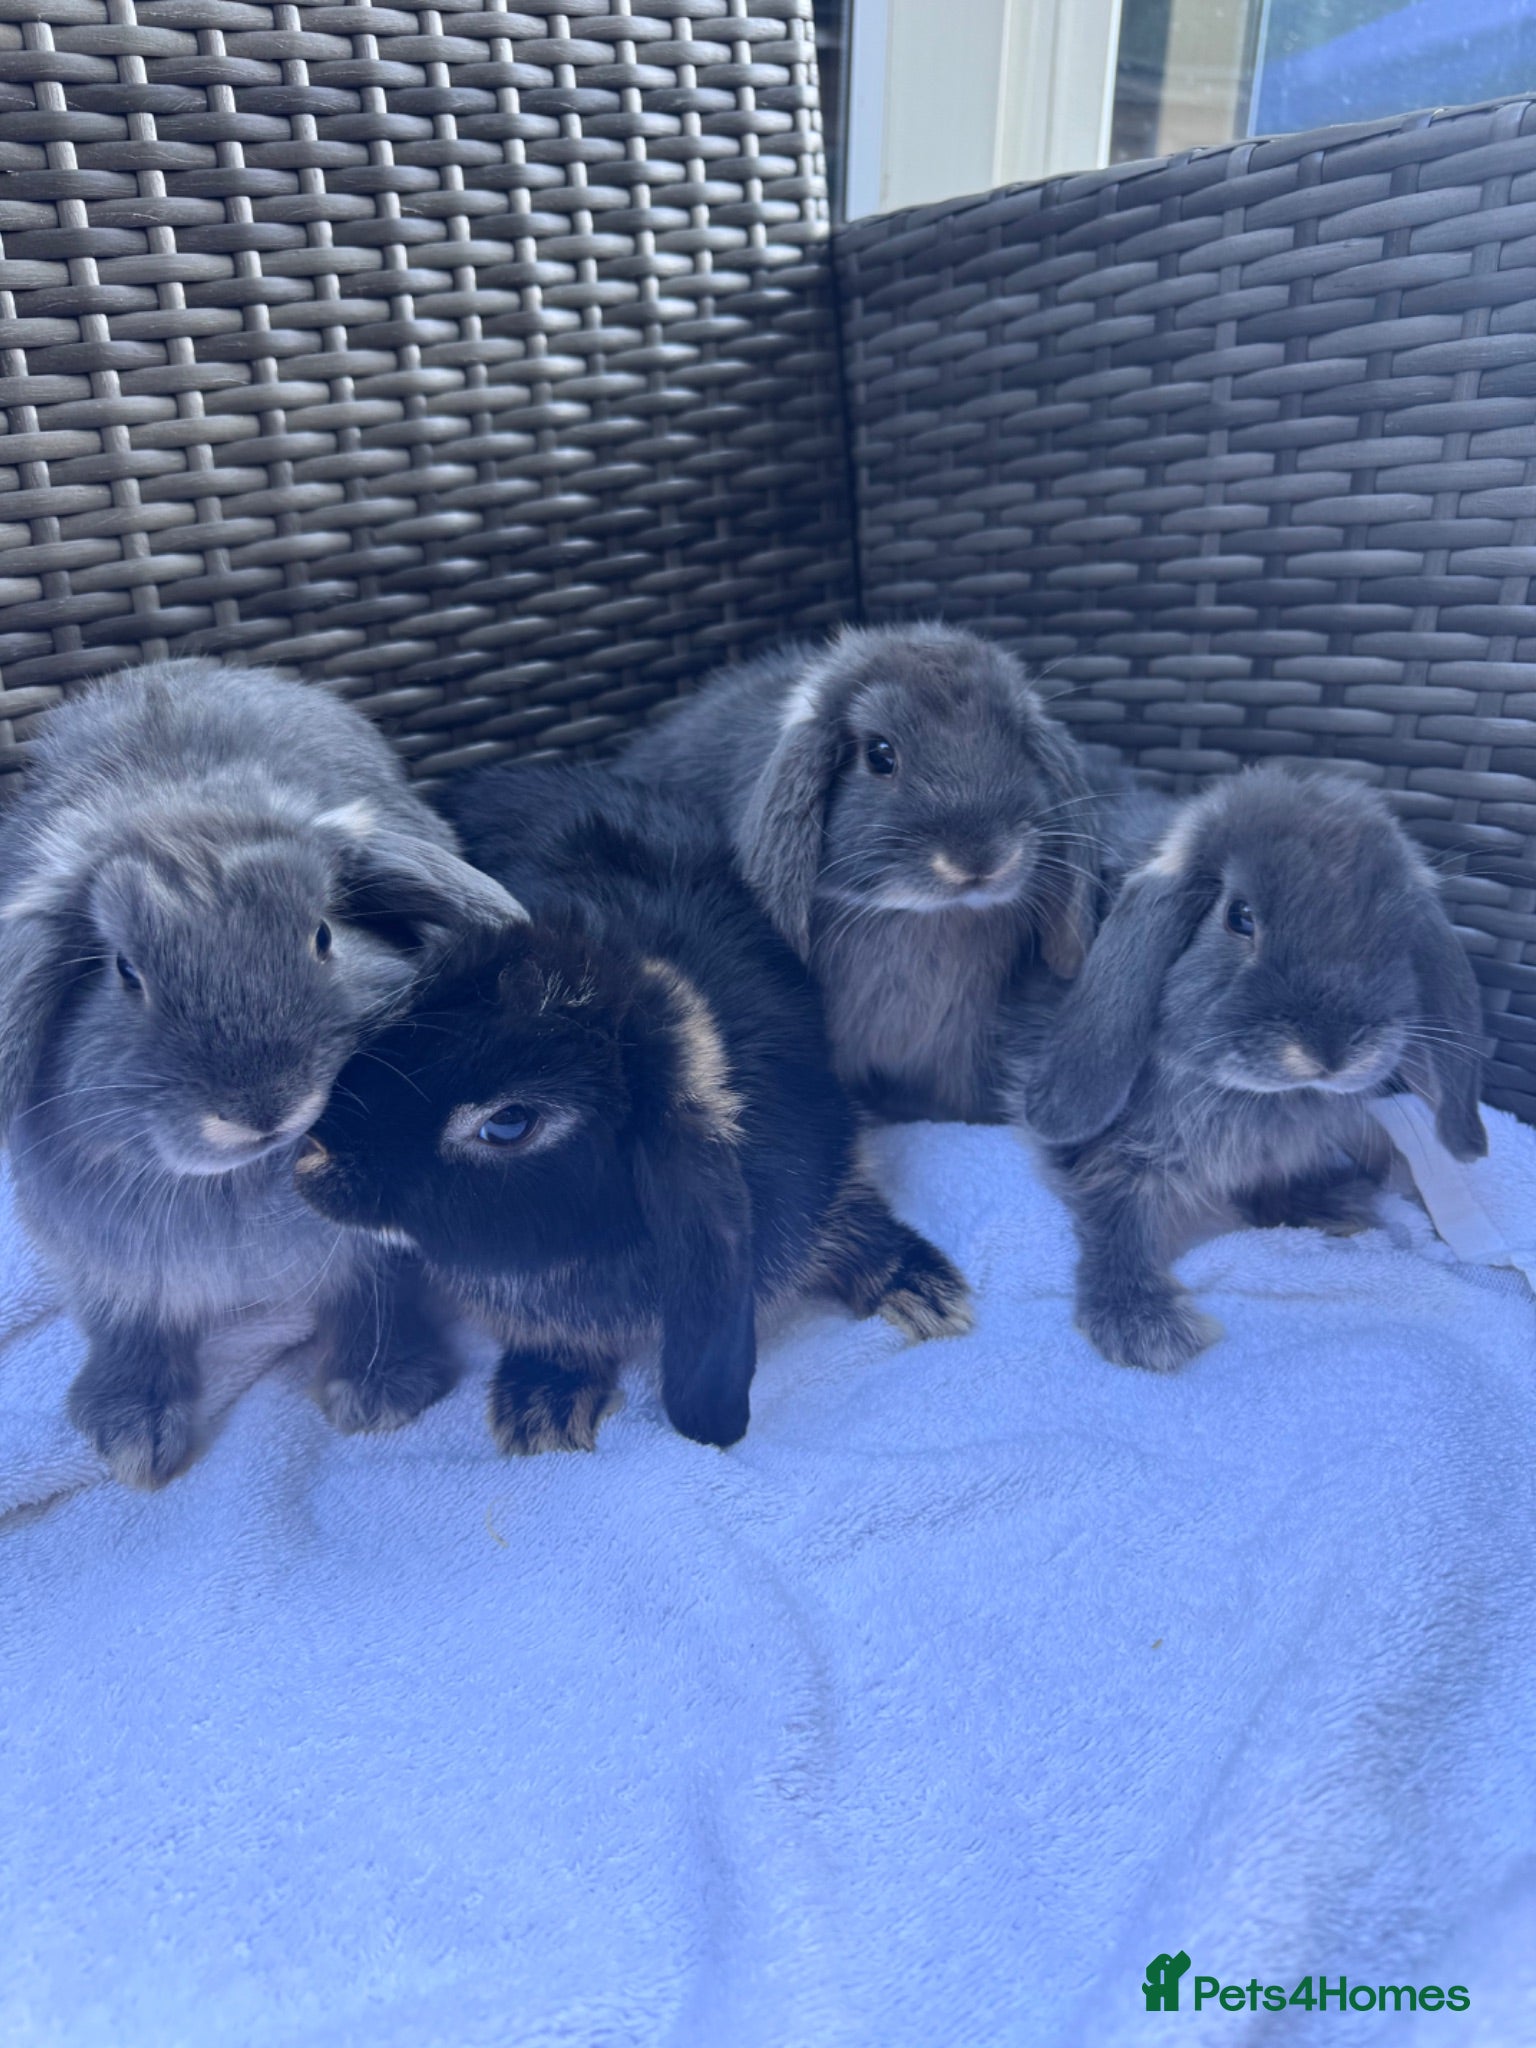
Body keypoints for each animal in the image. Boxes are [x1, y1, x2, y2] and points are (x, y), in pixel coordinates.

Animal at [0, 658, 527, 1486]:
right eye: (125, 972)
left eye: (323, 936)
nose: (263, 1107)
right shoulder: (100, 1259)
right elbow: (124, 1321)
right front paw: (130, 1429)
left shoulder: (371, 1252)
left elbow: (372, 1296)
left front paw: (381, 1392)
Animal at [296, 766, 974, 1456]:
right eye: (418, 998)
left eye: (508, 1123)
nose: (313, 1153)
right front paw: (541, 1410)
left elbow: (853, 1222)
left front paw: (924, 1290)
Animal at [1012, 765, 1488, 1375]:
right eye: (1239, 917)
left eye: (1394, 929)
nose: (1331, 1048)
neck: (1258, 1098)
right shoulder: (1106, 1152)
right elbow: (1115, 1214)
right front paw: (1143, 1325)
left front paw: (1330, 1204)